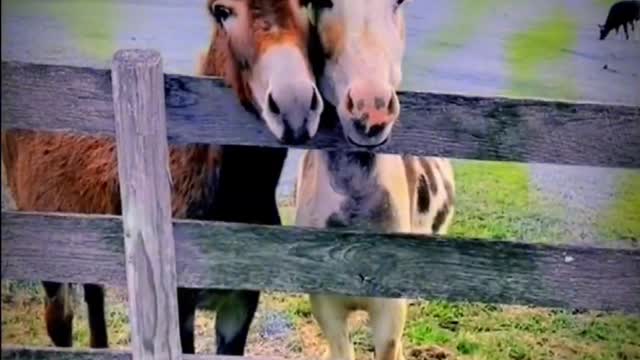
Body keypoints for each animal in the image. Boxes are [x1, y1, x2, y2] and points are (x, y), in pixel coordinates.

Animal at [2, 0, 324, 354]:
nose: (295, 107)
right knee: (59, 320)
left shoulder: (240, 302)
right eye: (222, 11)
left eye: (306, 4)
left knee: (94, 301)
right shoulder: (179, 303)